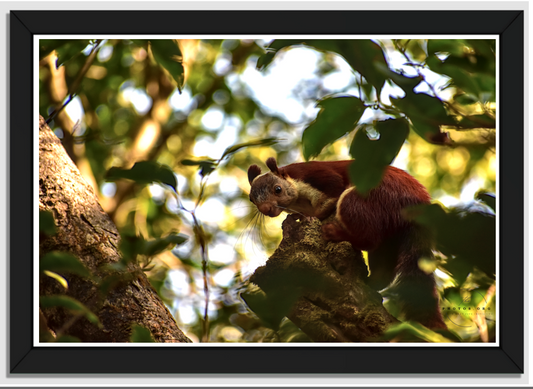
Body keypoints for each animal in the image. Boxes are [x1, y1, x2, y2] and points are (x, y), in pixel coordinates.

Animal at [247, 156, 446, 328]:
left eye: (277, 189)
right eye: (251, 198)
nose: (265, 209)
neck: (298, 199)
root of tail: (418, 205)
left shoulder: (319, 177)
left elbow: (331, 195)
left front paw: (313, 215)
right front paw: (295, 217)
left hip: (367, 195)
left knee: (367, 238)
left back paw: (335, 233)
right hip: (390, 235)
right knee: (382, 262)